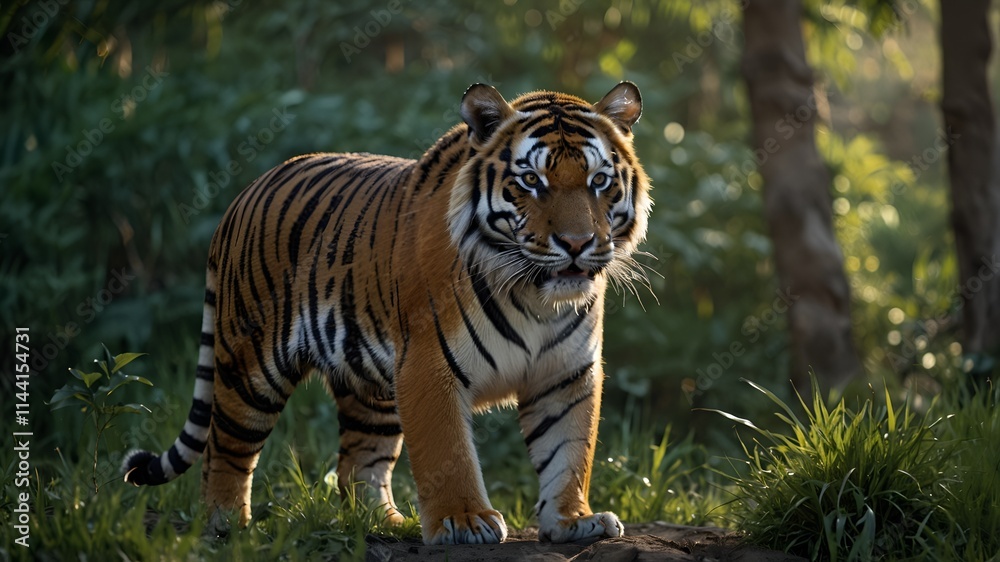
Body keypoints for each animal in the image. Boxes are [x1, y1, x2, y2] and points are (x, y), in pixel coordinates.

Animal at [123, 81, 651, 545]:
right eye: (531, 181)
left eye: (598, 181)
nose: (577, 244)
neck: (537, 298)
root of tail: (243, 196)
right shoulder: (430, 366)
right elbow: (448, 452)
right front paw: (464, 521)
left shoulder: (565, 374)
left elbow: (568, 452)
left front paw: (572, 520)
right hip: (250, 368)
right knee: (224, 447)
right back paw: (226, 524)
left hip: (371, 387)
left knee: (357, 463)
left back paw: (386, 522)